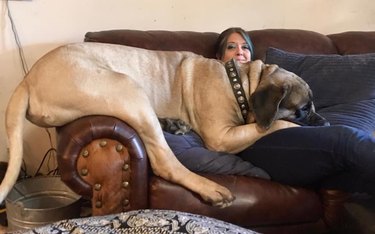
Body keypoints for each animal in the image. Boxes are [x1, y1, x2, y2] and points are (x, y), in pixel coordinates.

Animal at [0, 42, 328, 207]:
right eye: (302, 110)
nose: (323, 120)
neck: (241, 82)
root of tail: (27, 79)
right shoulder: (221, 136)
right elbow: (272, 125)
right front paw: (298, 128)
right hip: (127, 88)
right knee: (165, 162)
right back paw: (210, 189)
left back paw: (173, 123)